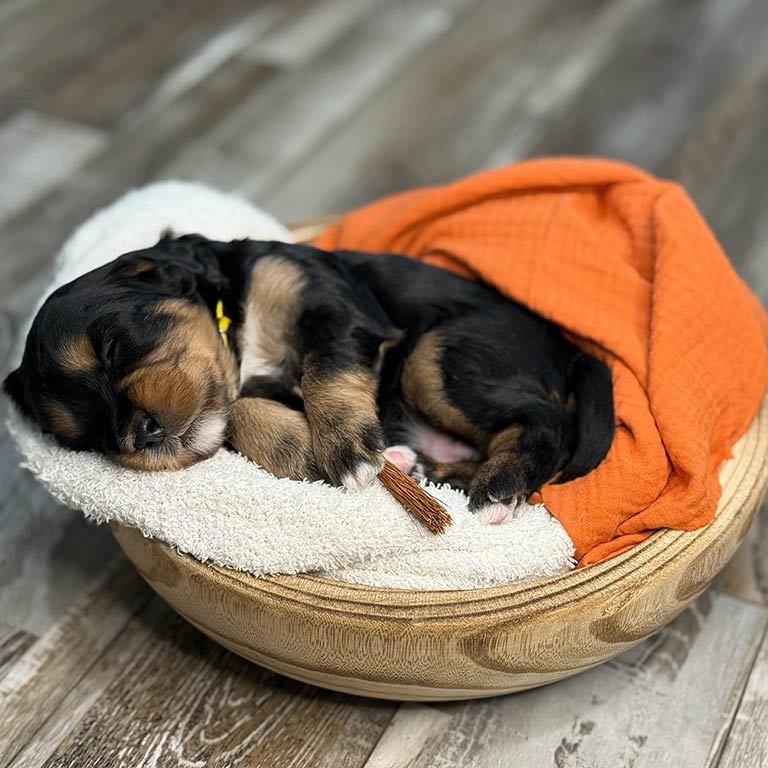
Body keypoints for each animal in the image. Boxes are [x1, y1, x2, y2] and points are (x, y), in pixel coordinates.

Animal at [3, 236, 616, 516]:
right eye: (91, 439)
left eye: (111, 347)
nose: (139, 433)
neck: (239, 328)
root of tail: (572, 352)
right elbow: (239, 412)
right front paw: (307, 450)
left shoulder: (331, 306)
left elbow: (326, 372)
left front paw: (346, 453)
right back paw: (413, 464)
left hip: (437, 355)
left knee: (546, 423)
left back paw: (496, 492)